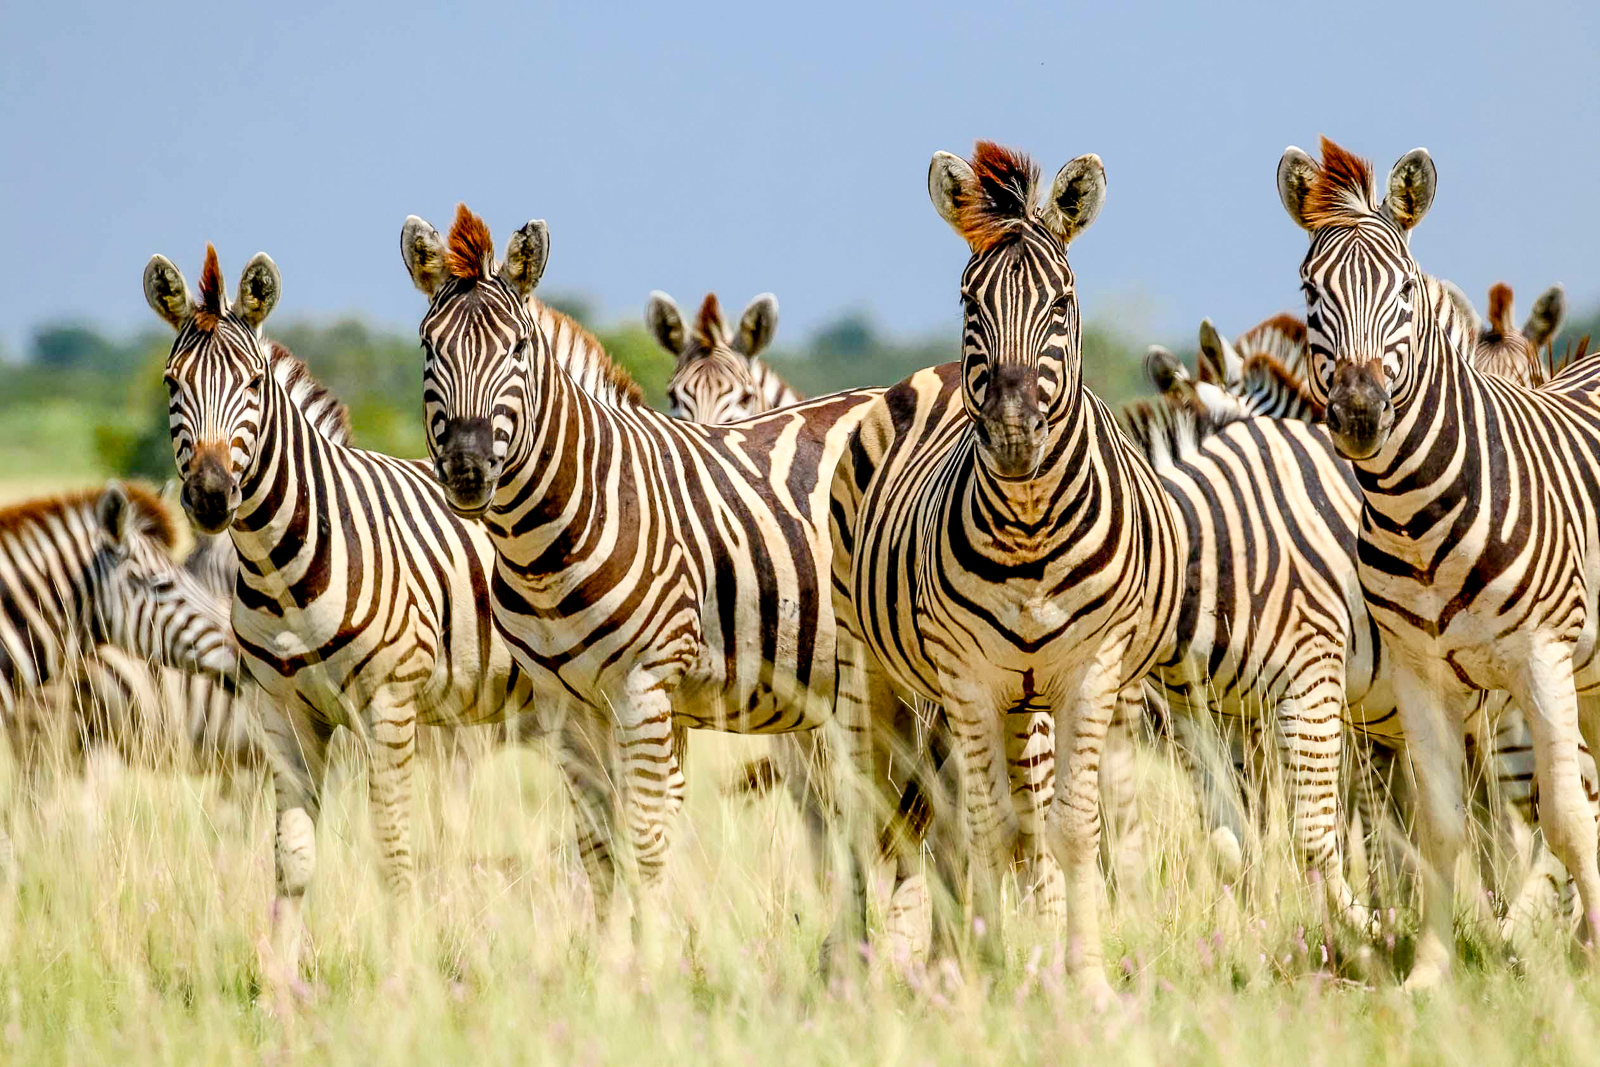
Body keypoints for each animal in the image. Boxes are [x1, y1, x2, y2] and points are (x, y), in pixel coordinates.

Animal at [144, 245, 549, 979]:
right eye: (170, 383)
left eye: (253, 383)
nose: (211, 496)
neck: (281, 567)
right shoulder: (281, 713)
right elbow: (293, 859)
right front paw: (280, 983)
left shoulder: (389, 704)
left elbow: (392, 851)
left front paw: (402, 973)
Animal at [828, 142, 1183, 998]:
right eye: (968, 300)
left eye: (1063, 301)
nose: (1015, 434)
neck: (1028, 531)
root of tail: (929, 371)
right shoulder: (967, 673)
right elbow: (988, 827)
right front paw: (987, 974)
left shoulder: (1090, 668)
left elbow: (1071, 828)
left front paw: (1080, 977)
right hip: (874, 670)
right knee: (872, 811)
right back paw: (858, 970)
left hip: (1016, 701)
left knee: (970, 817)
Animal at [1277, 135, 1600, 987]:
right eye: (1310, 292)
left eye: (1404, 291)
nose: (1358, 413)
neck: (1415, 515)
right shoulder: (1419, 675)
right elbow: (1442, 827)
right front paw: (1429, 970)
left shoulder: (1542, 655)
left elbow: (1563, 816)